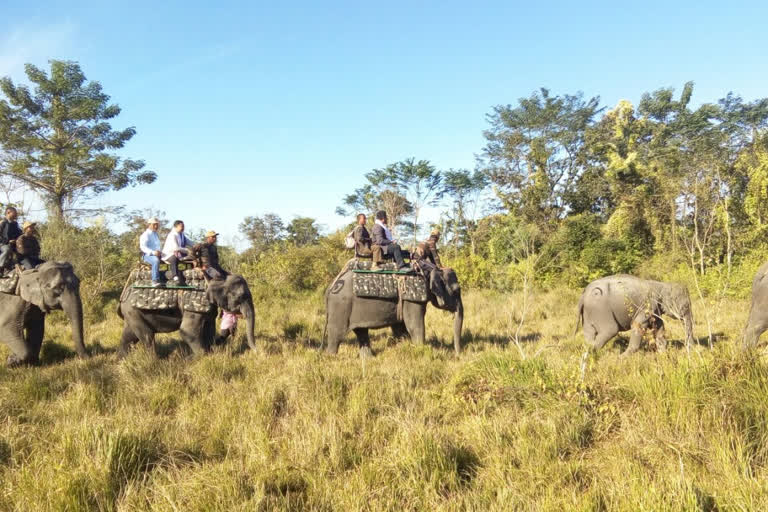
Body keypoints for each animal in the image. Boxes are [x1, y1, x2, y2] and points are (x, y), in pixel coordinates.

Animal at [117, 274, 255, 358]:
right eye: (240, 297)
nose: (256, 351)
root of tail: (122, 296)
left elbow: (209, 329)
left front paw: (211, 353)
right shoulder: (194, 306)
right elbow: (187, 331)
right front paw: (199, 358)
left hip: (131, 314)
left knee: (129, 336)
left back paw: (122, 360)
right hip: (132, 311)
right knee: (147, 336)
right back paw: (155, 361)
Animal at [324, 262, 462, 358]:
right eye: (456, 290)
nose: (457, 356)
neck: (429, 269)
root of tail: (331, 287)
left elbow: (400, 327)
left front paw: (405, 346)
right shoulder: (412, 299)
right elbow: (414, 325)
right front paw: (420, 351)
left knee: (361, 332)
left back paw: (368, 359)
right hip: (340, 307)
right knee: (336, 334)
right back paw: (331, 358)